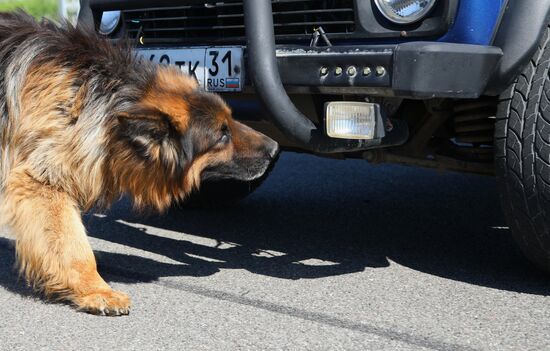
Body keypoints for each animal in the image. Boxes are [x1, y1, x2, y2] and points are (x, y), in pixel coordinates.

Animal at [0, 13, 280, 316]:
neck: (104, 99)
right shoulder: (40, 182)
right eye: (222, 135)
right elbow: (72, 245)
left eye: (231, 119)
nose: (275, 149)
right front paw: (96, 290)